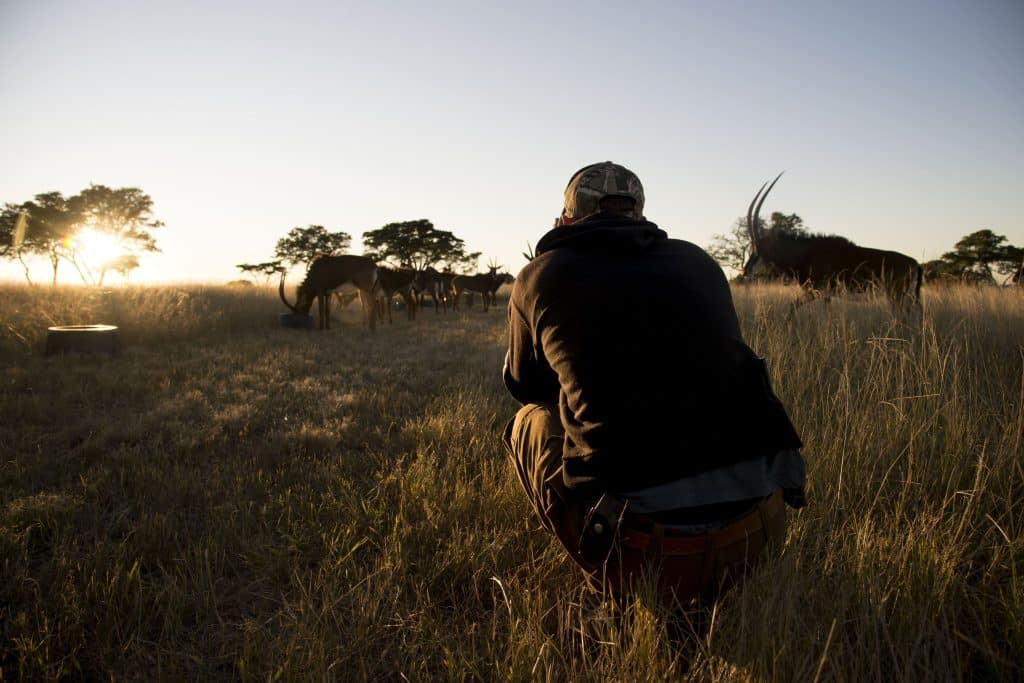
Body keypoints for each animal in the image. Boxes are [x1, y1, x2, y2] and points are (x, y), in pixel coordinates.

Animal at [743, 173, 922, 315]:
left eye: (757, 249)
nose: (745, 271)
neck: (804, 254)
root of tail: (914, 263)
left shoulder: (817, 292)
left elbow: (793, 307)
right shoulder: (825, 296)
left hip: (896, 295)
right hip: (907, 297)